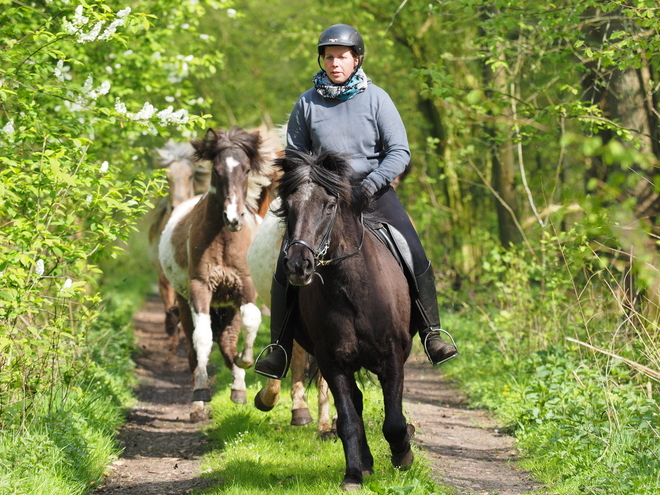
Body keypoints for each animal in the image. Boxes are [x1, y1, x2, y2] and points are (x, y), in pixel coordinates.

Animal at [159, 128, 272, 422]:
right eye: (217, 171)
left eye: (246, 169)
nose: (233, 218)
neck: (223, 238)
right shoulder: (200, 288)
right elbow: (202, 339)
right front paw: (200, 395)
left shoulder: (244, 288)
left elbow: (252, 320)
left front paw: (245, 361)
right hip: (185, 302)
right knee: (195, 344)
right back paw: (199, 401)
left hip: (228, 305)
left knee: (227, 341)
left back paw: (238, 388)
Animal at [256, 151, 412, 492]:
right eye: (289, 206)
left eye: (329, 205)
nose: (298, 265)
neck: (351, 290)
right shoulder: (333, 362)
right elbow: (349, 420)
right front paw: (353, 475)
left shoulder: (392, 357)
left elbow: (394, 421)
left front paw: (403, 456)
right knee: (355, 404)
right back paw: (364, 462)